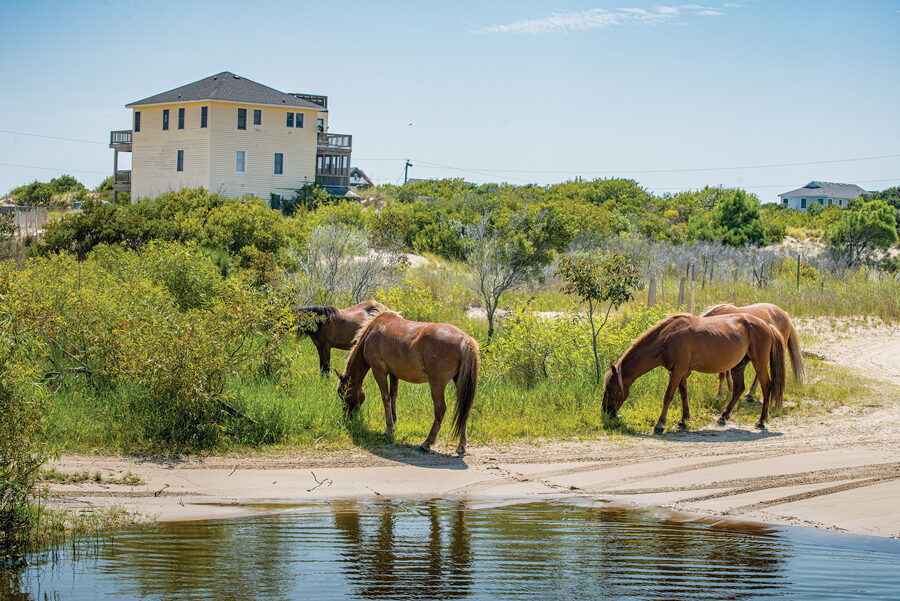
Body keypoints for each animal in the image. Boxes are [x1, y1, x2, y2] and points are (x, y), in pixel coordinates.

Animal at [336, 310, 478, 454]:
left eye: (342, 393)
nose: (347, 416)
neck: (373, 329)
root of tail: (465, 339)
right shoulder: (394, 373)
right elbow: (393, 395)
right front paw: (394, 421)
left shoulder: (379, 371)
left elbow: (385, 398)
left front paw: (389, 428)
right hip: (459, 382)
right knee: (464, 409)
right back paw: (461, 445)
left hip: (437, 385)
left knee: (440, 410)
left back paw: (427, 442)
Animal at [604, 312, 788, 434]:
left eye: (611, 388)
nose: (606, 411)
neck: (667, 336)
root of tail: (766, 325)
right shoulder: (680, 372)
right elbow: (683, 393)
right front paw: (684, 420)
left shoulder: (677, 370)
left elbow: (669, 396)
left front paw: (660, 424)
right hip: (739, 366)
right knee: (738, 389)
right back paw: (723, 417)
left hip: (759, 363)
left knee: (767, 387)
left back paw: (761, 421)